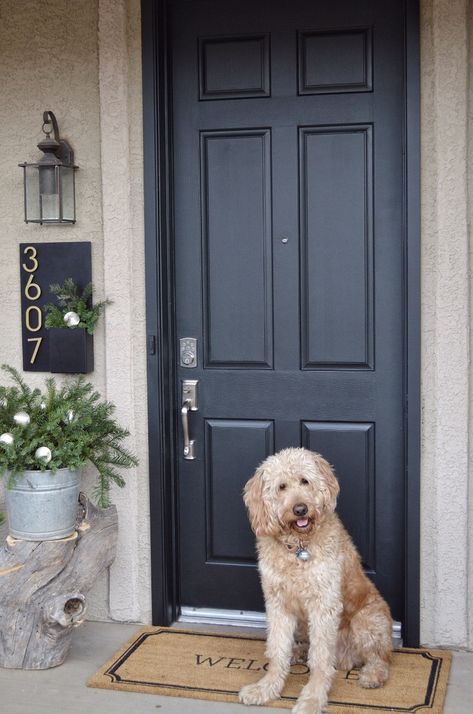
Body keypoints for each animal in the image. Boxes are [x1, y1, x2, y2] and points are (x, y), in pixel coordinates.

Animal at [240, 444, 390, 712]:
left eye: (305, 481)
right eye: (281, 487)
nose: (300, 509)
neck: (299, 547)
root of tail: (346, 659)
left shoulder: (324, 604)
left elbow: (320, 659)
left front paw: (312, 697)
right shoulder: (277, 603)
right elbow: (276, 650)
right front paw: (267, 687)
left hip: (368, 620)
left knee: (379, 657)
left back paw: (372, 674)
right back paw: (297, 652)